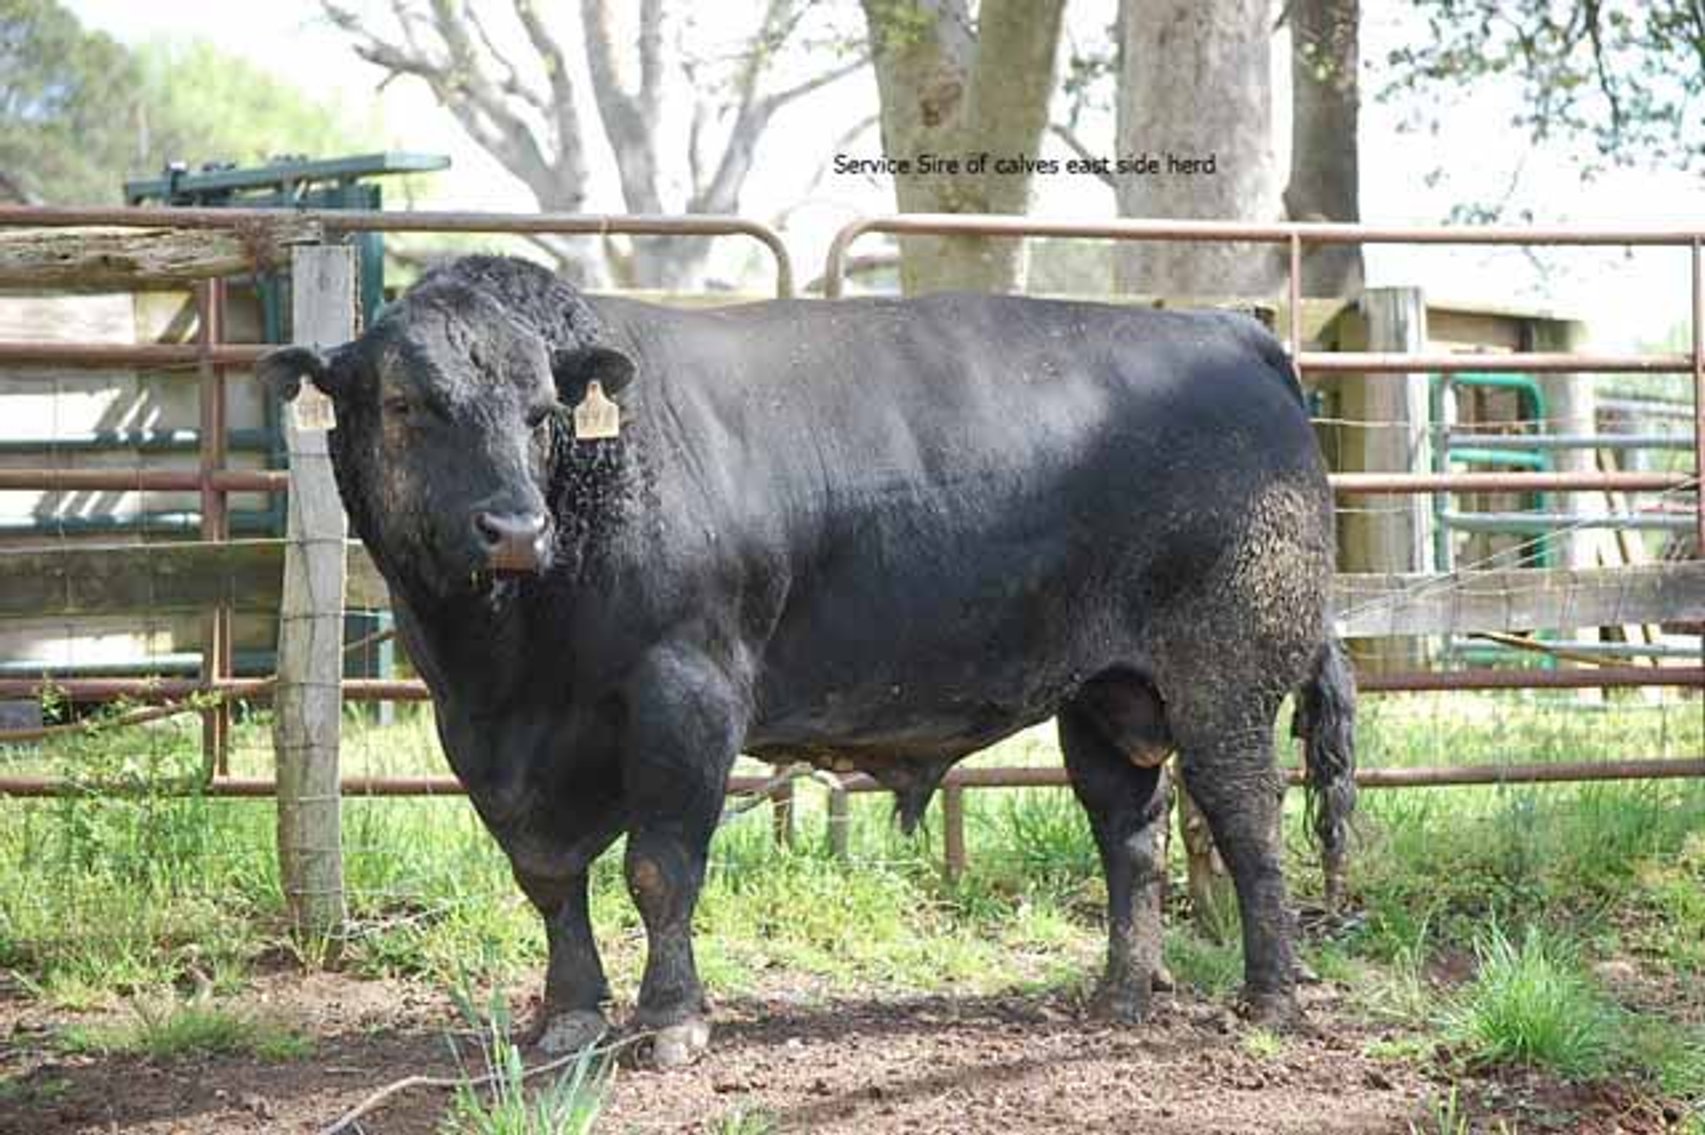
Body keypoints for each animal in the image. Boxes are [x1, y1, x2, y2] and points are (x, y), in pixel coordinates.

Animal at [258, 255, 1356, 1068]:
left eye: (540, 410)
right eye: (407, 404)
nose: (515, 529)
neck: (514, 657)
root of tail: (1233, 334)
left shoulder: (686, 693)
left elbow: (659, 867)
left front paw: (672, 1019)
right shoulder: (477, 730)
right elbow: (547, 874)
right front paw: (568, 1013)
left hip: (1224, 673)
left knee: (1247, 818)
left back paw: (1269, 1000)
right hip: (1104, 692)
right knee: (1130, 832)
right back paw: (1120, 993)